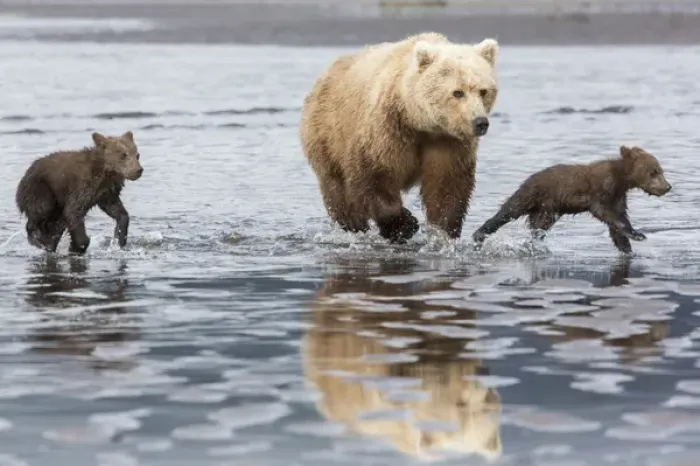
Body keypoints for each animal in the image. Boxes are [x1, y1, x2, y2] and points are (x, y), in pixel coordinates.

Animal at [15, 131, 143, 255]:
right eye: (123, 155)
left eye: (137, 155)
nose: (139, 170)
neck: (105, 172)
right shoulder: (82, 187)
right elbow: (73, 212)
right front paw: (78, 246)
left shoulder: (106, 191)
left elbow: (116, 210)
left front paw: (120, 238)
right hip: (40, 189)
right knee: (41, 211)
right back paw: (39, 240)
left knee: (54, 225)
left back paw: (49, 243)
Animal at [300, 32, 499, 243]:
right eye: (457, 92)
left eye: (483, 90)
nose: (480, 122)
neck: (418, 122)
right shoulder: (385, 131)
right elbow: (373, 175)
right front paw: (404, 226)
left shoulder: (448, 142)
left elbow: (447, 186)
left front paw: (443, 231)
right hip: (327, 134)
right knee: (338, 189)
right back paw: (354, 226)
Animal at [471, 145, 672, 254]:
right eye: (654, 171)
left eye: (661, 170)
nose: (668, 186)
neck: (621, 180)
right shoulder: (601, 190)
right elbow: (607, 214)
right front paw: (638, 234)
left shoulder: (618, 196)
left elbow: (617, 220)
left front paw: (627, 247)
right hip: (532, 192)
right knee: (509, 210)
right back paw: (479, 234)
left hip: (546, 210)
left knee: (538, 226)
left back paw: (535, 243)